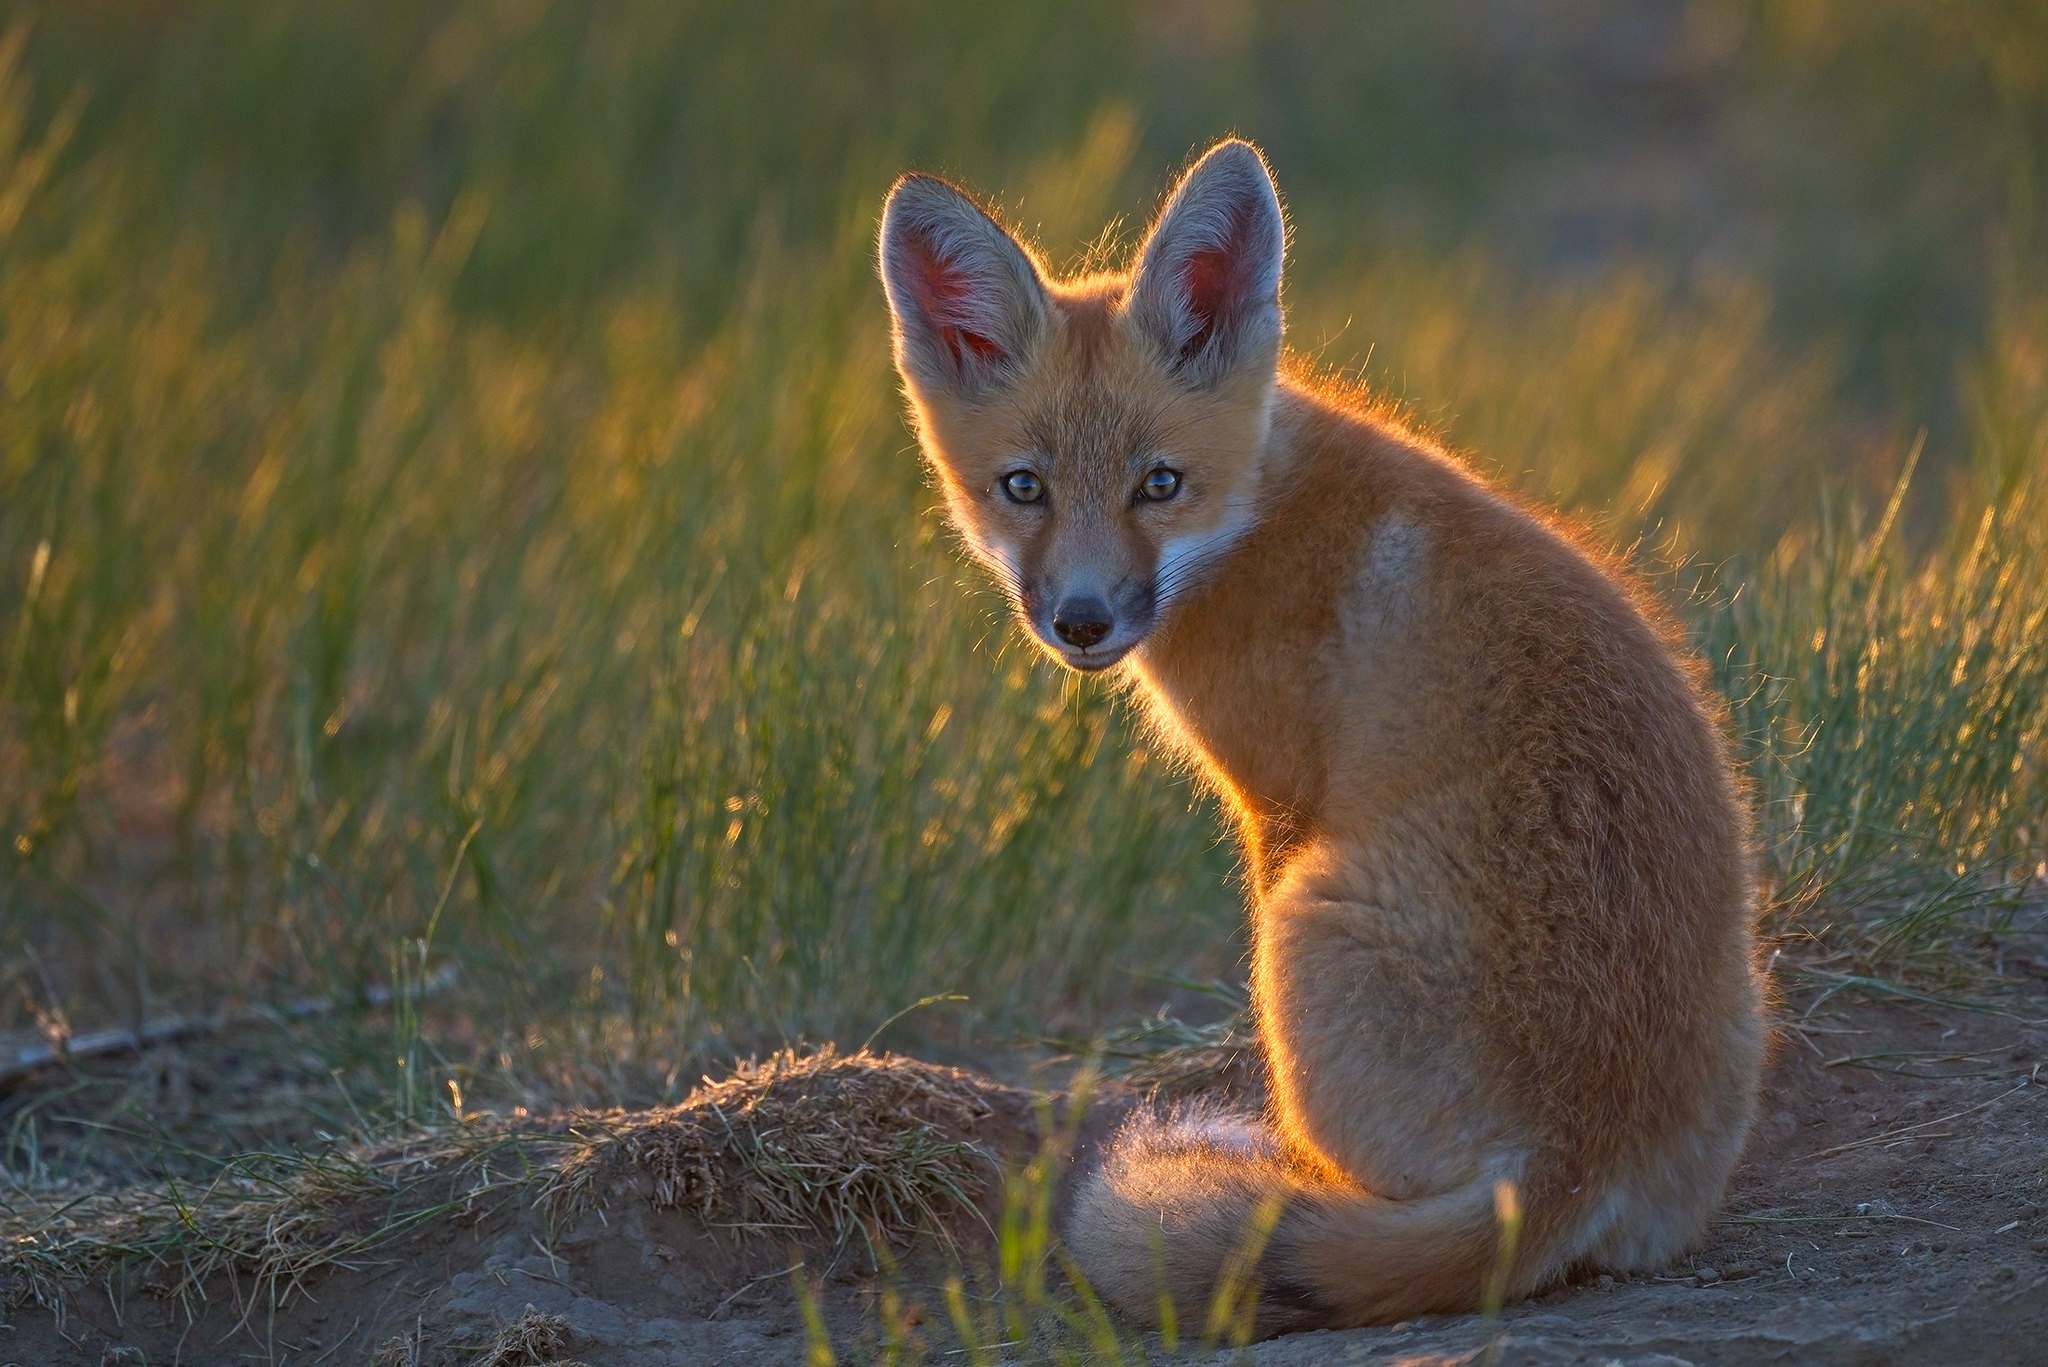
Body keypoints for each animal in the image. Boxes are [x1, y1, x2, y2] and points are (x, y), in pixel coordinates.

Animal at [876, 139, 1761, 1336]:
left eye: (1158, 483)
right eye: (1025, 488)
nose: (1082, 622)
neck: (1257, 513)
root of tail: (1570, 1164)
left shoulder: (1278, 803)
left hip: (1306, 922)